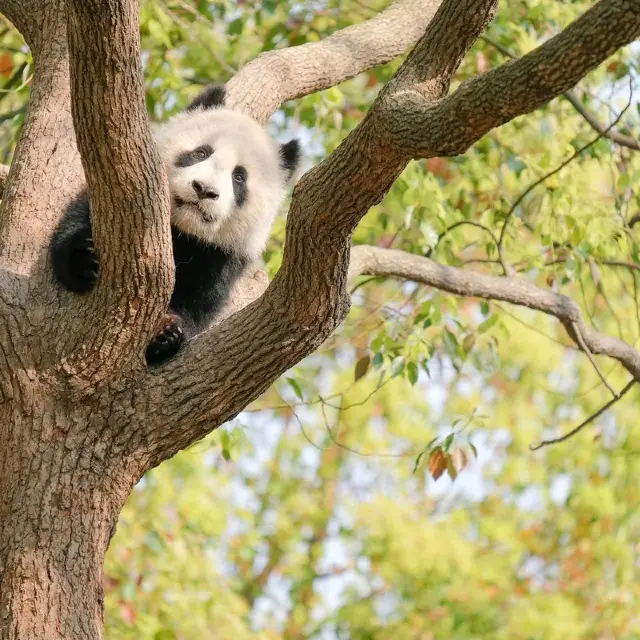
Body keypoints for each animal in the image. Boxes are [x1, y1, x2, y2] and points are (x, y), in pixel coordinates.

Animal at [50, 84, 300, 364]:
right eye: (201, 153)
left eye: (238, 177)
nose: (204, 189)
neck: (181, 231)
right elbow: (79, 219)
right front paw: (84, 259)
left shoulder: (220, 257)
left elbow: (199, 304)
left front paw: (167, 335)